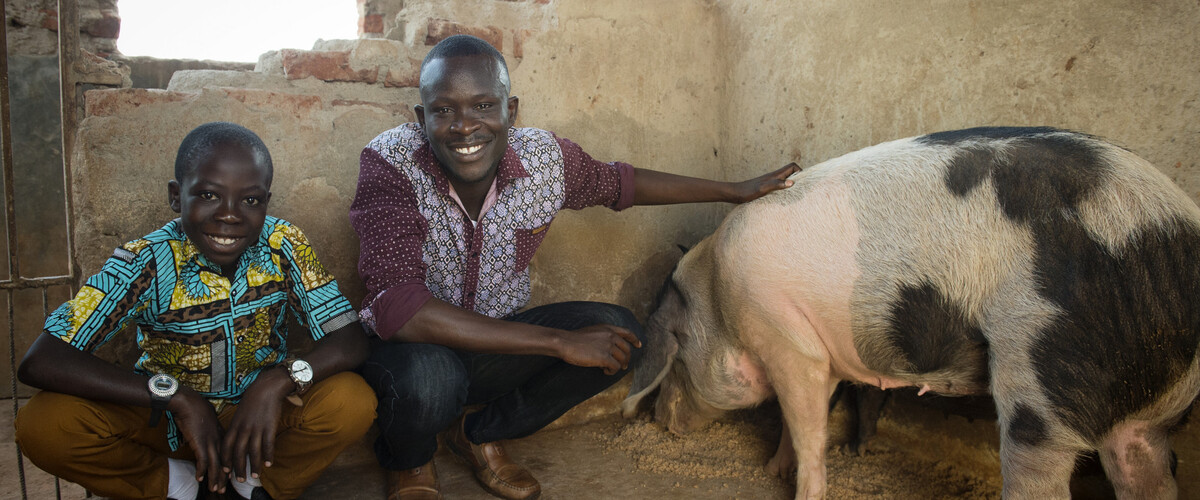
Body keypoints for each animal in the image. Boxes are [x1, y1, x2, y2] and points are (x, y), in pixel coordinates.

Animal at [624, 127, 1200, 498]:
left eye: (676, 362)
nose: (659, 421)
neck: (717, 293)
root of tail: (1175, 236)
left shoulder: (787, 338)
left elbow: (806, 423)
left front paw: (795, 482)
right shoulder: (818, 349)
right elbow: (803, 415)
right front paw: (774, 470)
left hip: (1045, 368)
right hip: (1150, 411)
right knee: (1146, 469)